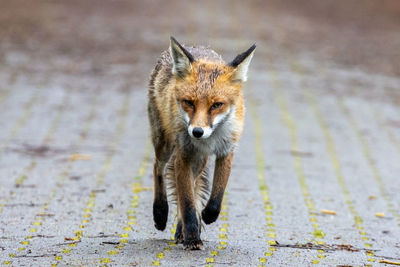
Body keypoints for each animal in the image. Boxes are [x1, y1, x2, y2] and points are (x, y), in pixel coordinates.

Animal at [148, 36, 256, 251]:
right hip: (165, 144)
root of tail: (194, 46)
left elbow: (215, 196)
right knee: (158, 167)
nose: (197, 132)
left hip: (199, 161)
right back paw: (161, 213)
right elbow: (188, 203)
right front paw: (192, 238)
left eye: (217, 105)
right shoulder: (183, 156)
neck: (211, 138)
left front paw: (207, 216)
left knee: (192, 185)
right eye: (189, 102)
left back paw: (182, 228)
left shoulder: (226, 151)